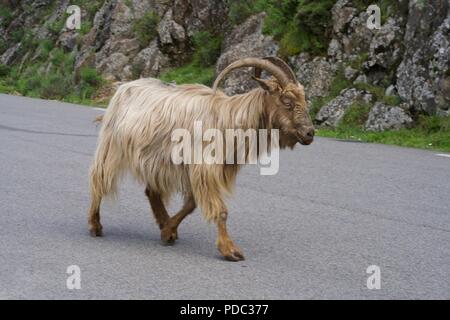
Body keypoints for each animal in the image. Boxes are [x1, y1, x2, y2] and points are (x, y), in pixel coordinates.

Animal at [87, 57, 312, 262]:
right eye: (287, 102)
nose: (309, 133)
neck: (228, 121)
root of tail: (123, 88)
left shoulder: (196, 171)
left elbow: (191, 204)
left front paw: (168, 231)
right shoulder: (204, 167)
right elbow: (220, 211)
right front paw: (230, 250)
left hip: (154, 160)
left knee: (151, 190)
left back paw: (163, 222)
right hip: (112, 147)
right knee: (99, 179)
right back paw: (95, 225)